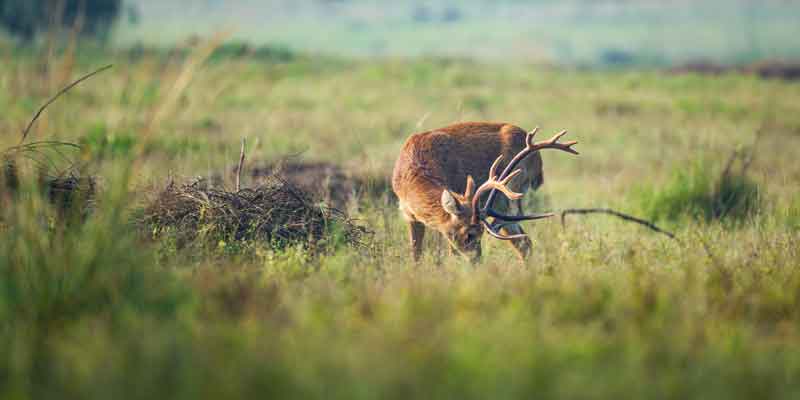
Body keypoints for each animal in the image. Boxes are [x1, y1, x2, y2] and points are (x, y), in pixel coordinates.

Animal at [390, 123, 580, 264]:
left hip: (508, 196)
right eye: (469, 234)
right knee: (524, 242)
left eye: (480, 232)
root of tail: (538, 161)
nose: (477, 261)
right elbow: (416, 255)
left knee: (523, 241)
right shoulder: (409, 216)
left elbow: (450, 256)